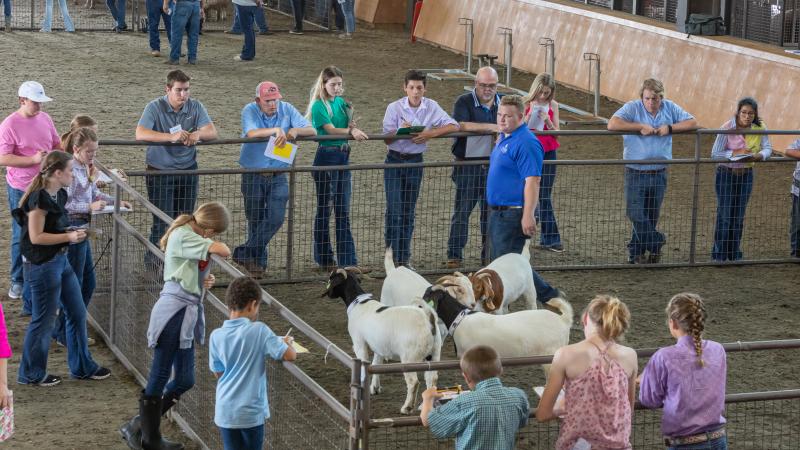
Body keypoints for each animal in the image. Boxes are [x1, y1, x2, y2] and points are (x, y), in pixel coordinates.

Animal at [322, 268, 444, 414]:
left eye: (331, 278)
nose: (328, 293)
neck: (359, 303)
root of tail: (427, 315)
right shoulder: (378, 345)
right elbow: (376, 363)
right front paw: (374, 388)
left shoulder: (359, 343)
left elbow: (364, 364)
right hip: (434, 353)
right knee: (432, 378)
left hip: (409, 358)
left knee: (413, 382)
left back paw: (407, 408)